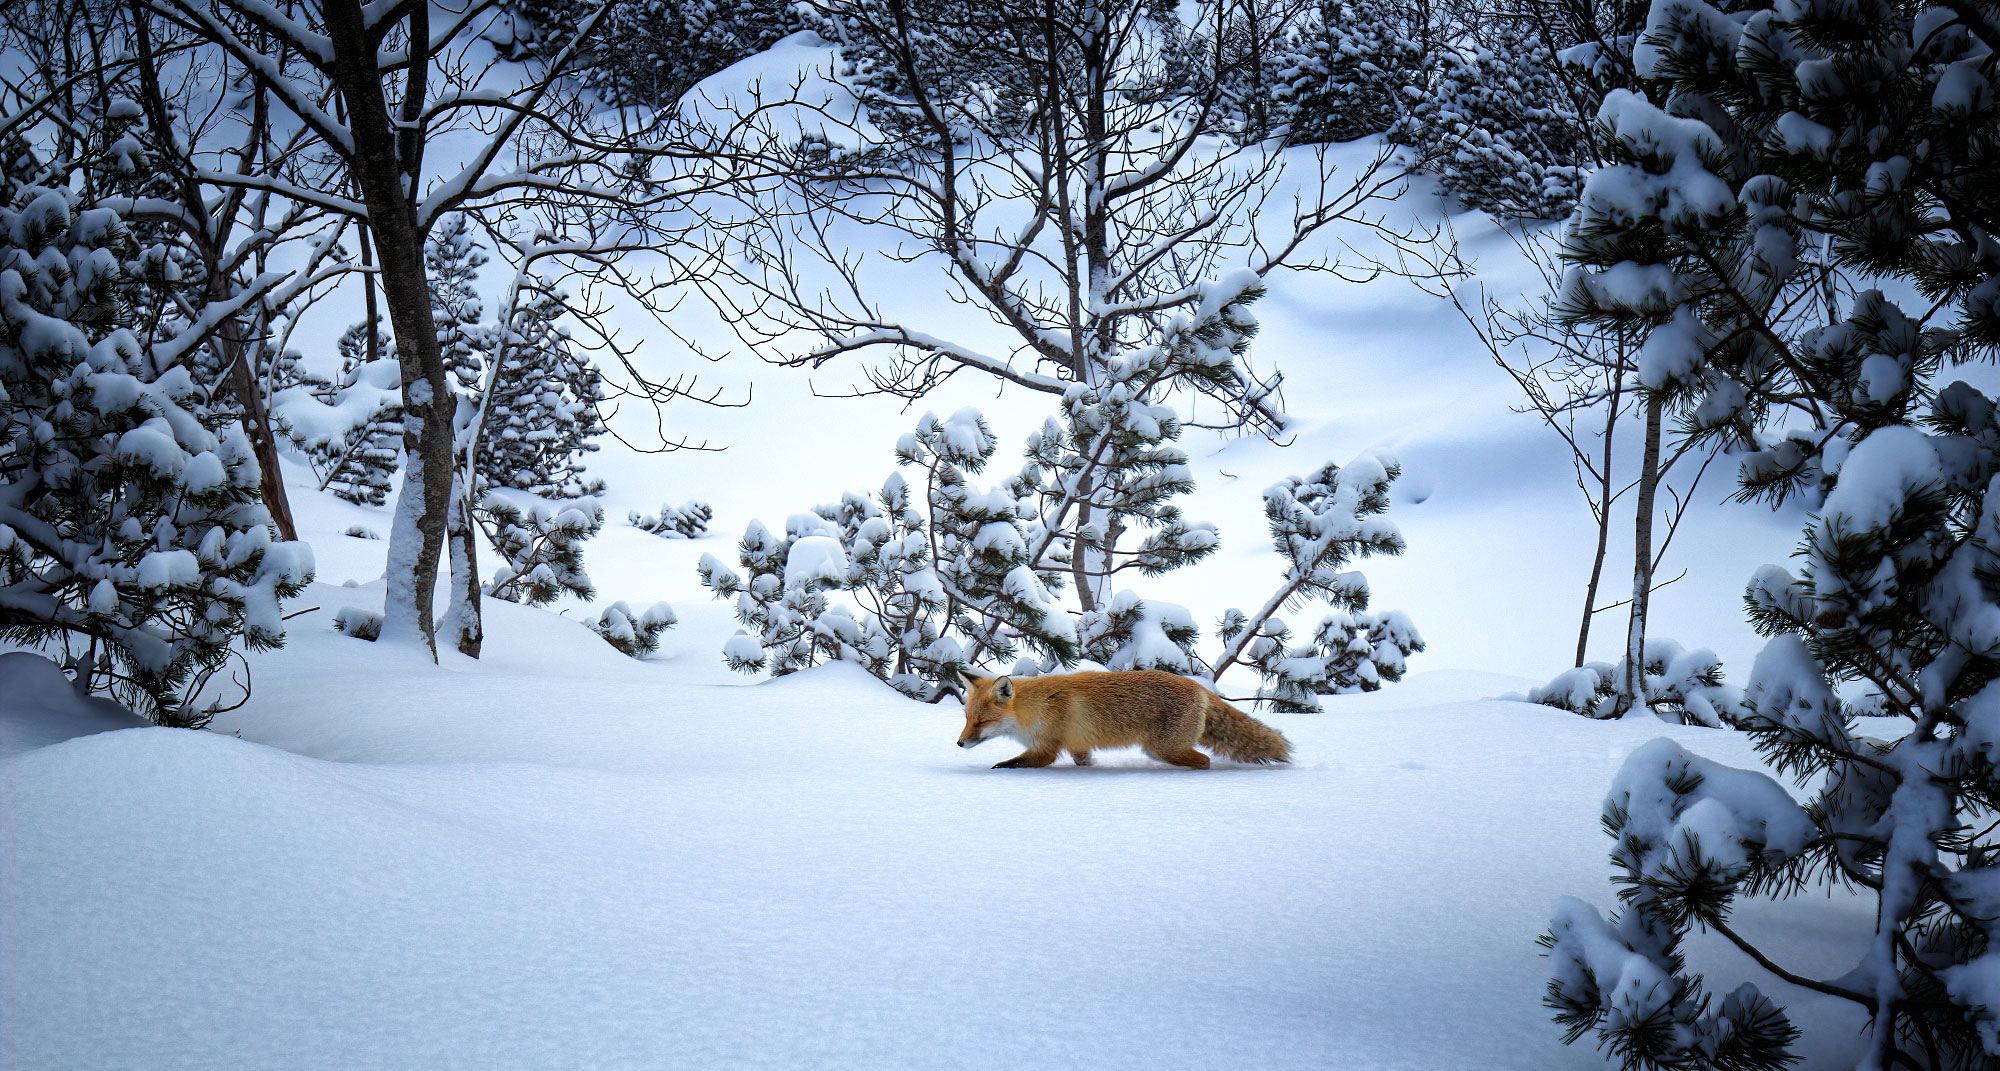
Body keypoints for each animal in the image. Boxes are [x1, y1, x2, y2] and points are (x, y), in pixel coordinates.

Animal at [956, 663, 1296, 767]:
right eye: (967, 718)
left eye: (982, 722)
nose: (959, 744)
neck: (1036, 707)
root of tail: (1199, 686)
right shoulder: (1078, 745)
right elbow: (1084, 761)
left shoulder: (1046, 749)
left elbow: (1009, 765)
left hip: (1164, 748)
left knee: (1205, 761)